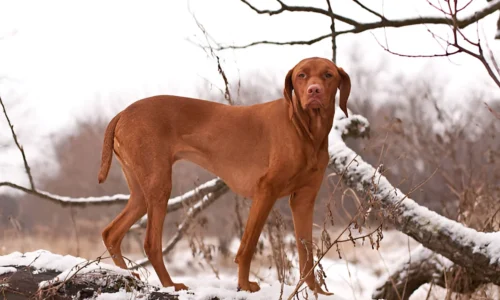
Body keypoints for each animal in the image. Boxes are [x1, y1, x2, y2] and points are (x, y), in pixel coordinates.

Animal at [98, 57, 352, 294]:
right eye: (302, 75)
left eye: (328, 74)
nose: (314, 91)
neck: (305, 131)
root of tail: (122, 113)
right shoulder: (266, 191)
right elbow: (247, 247)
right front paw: (244, 285)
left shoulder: (304, 199)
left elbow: (306, 252)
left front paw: (317, 291)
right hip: (159, 186)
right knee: (150, 243)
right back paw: (171, 285)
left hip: (142, 193)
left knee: (111, 233)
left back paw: (127, 274)